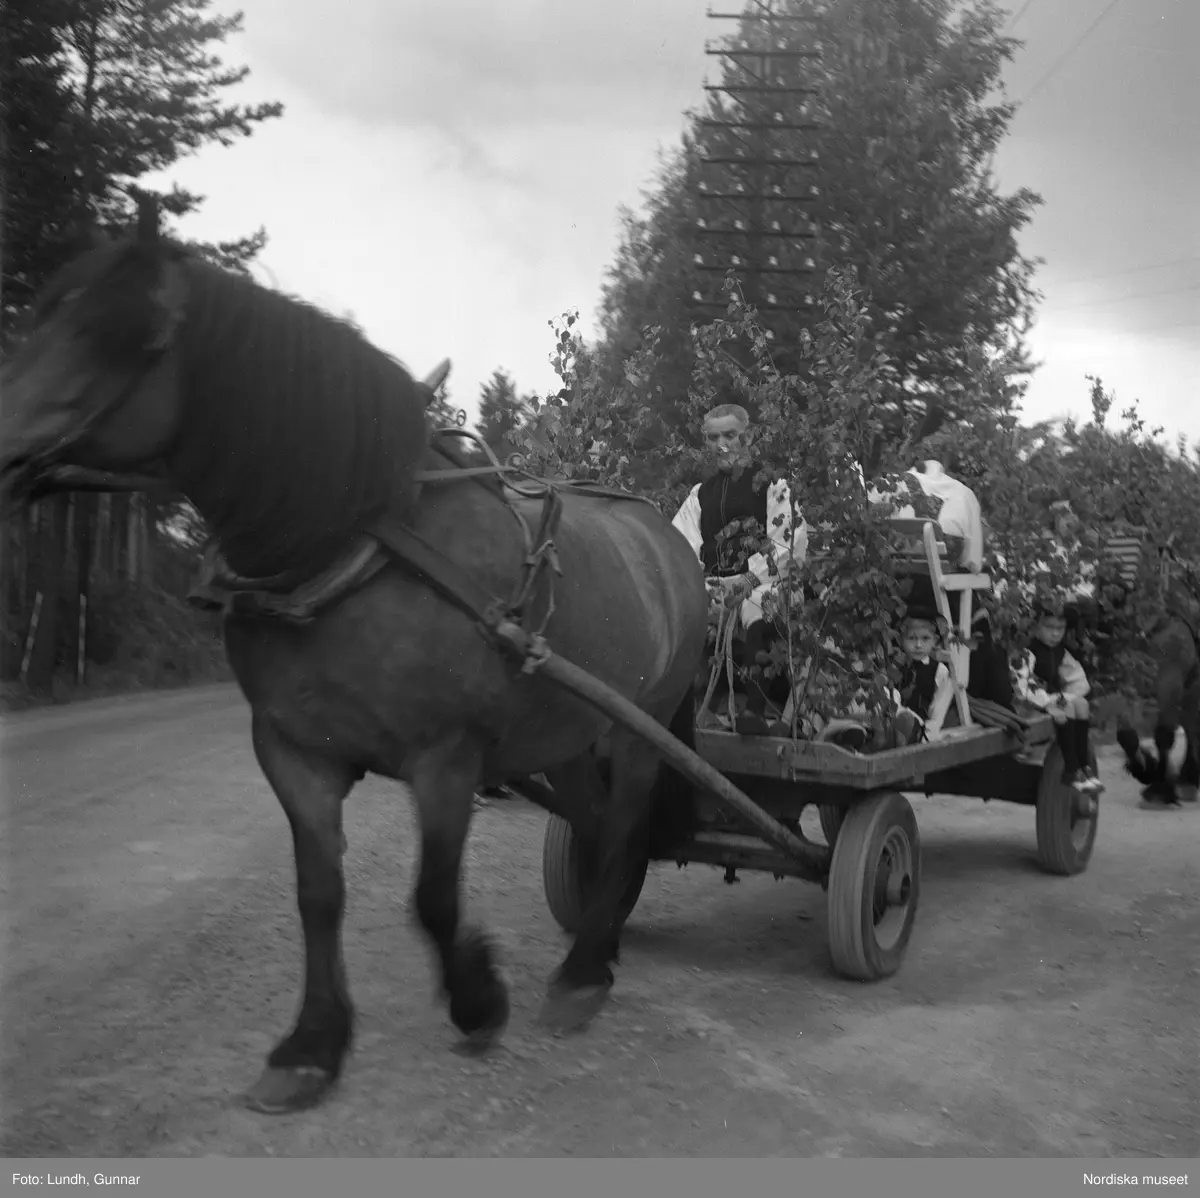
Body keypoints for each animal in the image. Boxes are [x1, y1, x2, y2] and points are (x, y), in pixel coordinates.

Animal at [0, 206, 710, 1113]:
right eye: (45, 313)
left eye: (126, 336)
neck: (352, 544)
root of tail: (666, 537)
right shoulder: (293, 751)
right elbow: (318, 895)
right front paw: (311, 1045)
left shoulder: (446, 758)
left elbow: (433, 898)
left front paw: (478, 1000)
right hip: (570, 729)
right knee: (594, 825)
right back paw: (603, 940)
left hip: (639, 727)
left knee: (622, 828)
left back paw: (582, 976)